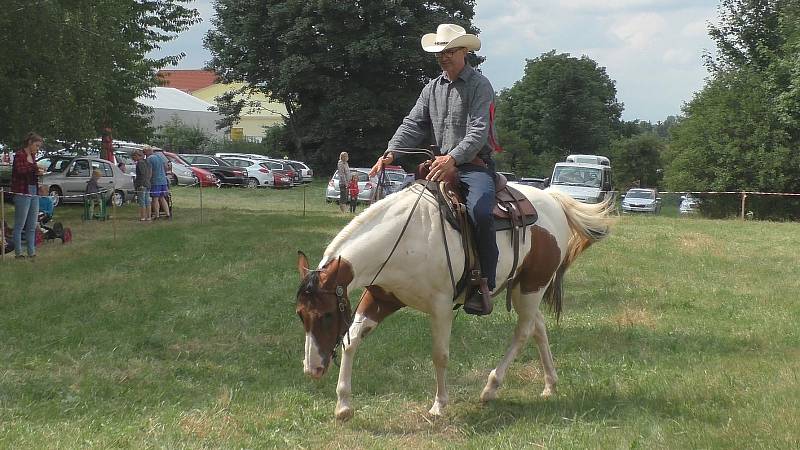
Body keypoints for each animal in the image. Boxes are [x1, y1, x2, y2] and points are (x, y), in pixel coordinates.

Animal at [296, 181, 608, 420]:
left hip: (533, 286)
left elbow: (440, 355)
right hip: (523, 288)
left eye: (326, 315)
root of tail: (553, 200)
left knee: (523, 332)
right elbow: (351, 341)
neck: (406, 238)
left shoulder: (441, 307)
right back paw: (549, 385)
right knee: (537, 327)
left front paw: (439, 405)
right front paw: (343, 405)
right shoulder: (380, 298)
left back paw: (491, 388)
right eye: (300, 314)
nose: (312, 369)